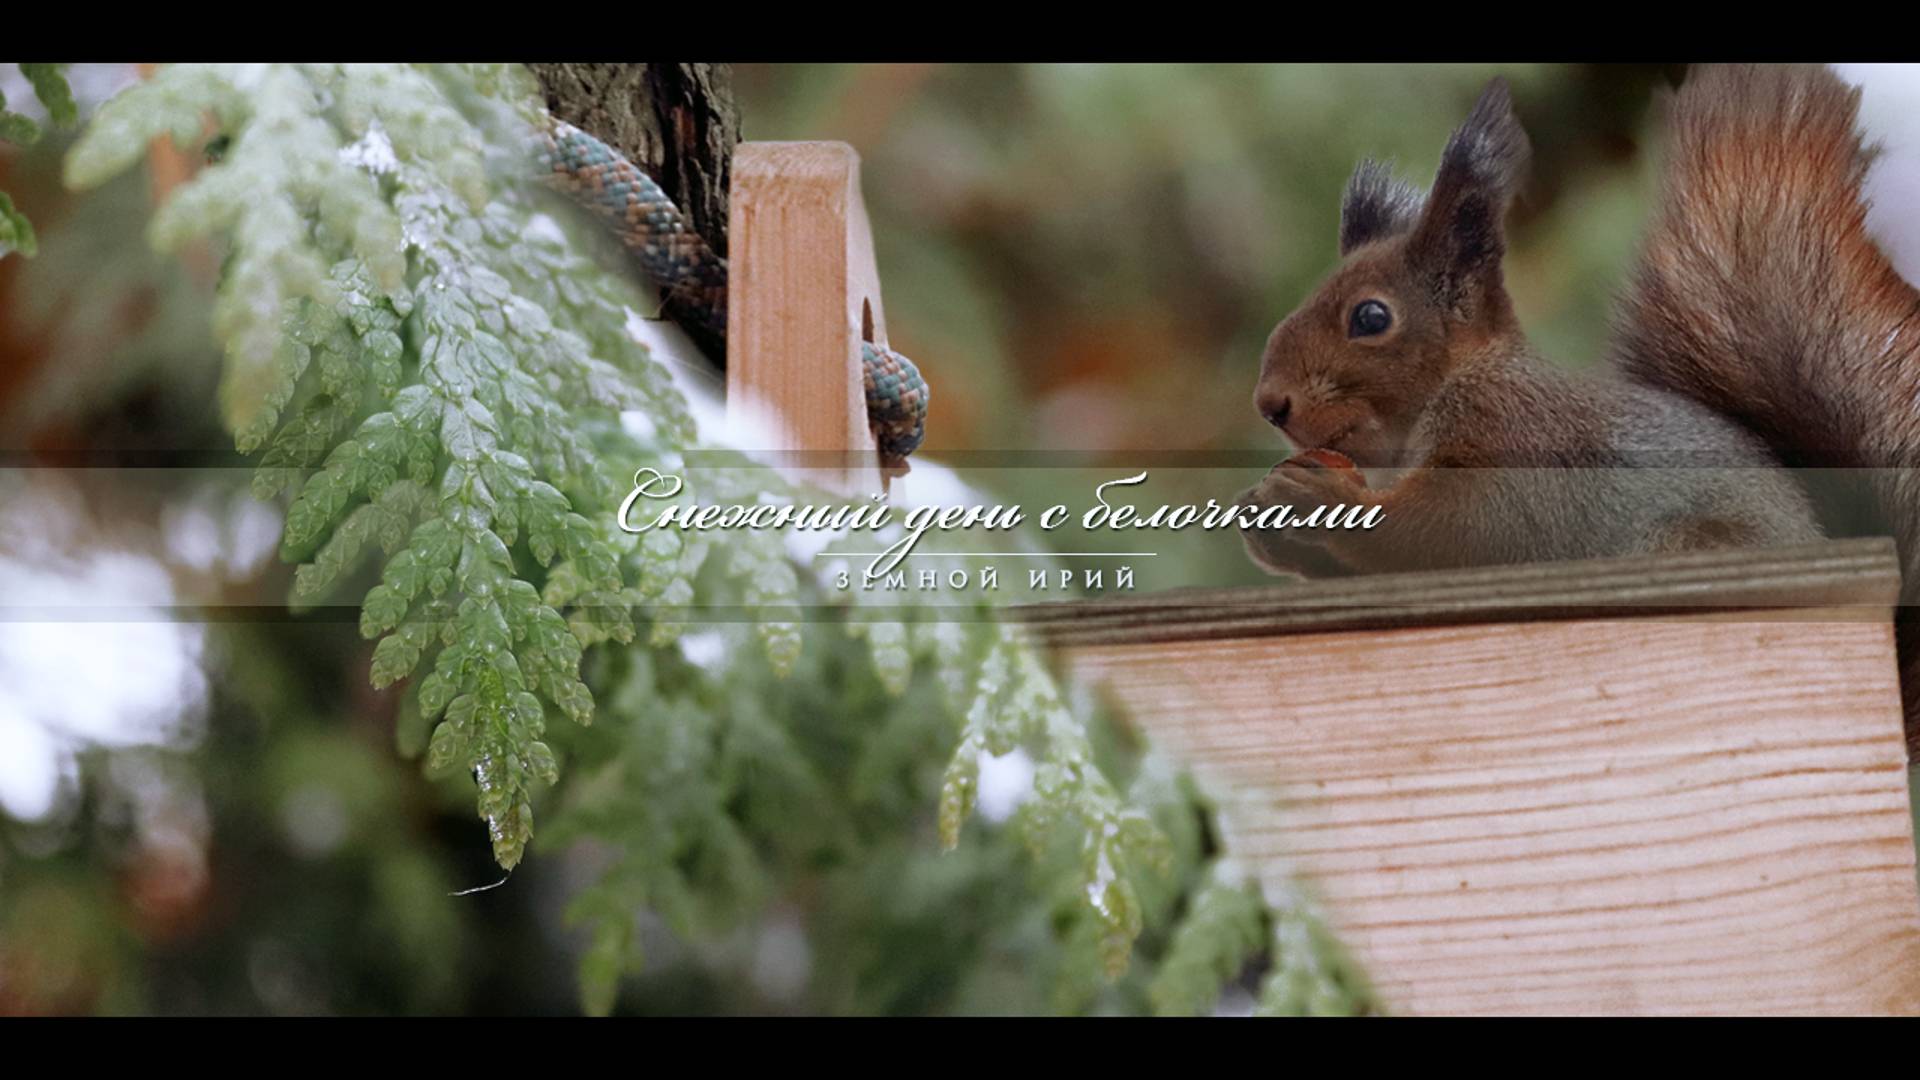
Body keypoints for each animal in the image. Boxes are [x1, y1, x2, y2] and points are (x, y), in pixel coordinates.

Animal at [1236, 61, 1920, 749]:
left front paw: (1319, 497)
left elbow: (1449, 528)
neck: (1460, 382)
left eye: (1371, 318)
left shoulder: (1515, 443)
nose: (1270, 403)